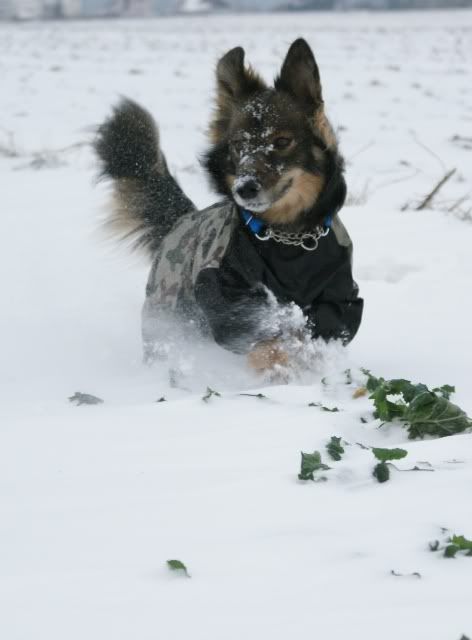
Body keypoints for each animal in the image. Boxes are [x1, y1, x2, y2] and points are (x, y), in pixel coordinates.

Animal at [94, 38, 363, 373]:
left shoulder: (339, 298)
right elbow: (264, 338)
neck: (287, 237)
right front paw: (279, 370)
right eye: (238, 145)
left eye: (282, 141)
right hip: (169, 315)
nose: (244, 189)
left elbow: (318, 331)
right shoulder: (225, 292)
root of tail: (183, 220)